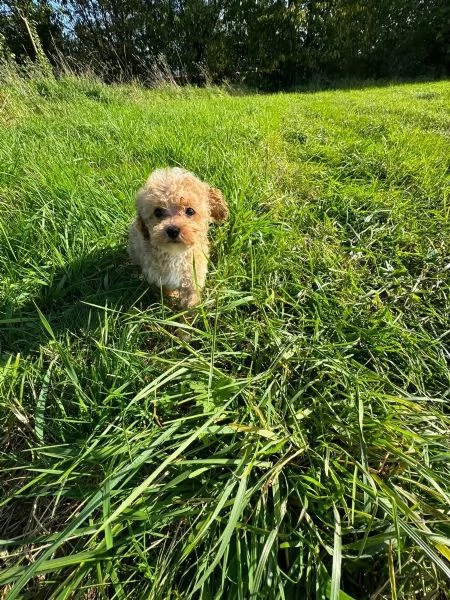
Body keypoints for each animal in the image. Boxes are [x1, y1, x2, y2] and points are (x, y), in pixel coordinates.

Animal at [129, 169, 229, 310]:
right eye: (158, 212)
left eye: (190, 211)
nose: (173, 230)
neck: (176, 253)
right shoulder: (160, 279)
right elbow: (166, 291)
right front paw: (172, 300)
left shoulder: (193, 278)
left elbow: (191, 303)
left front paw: (189, 314)